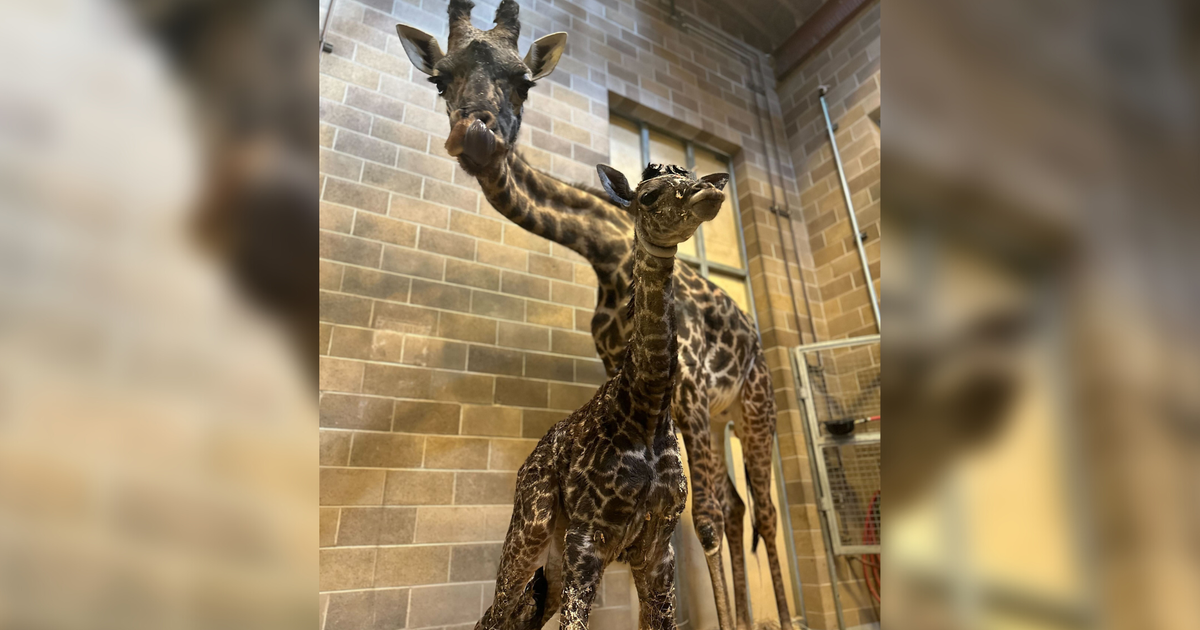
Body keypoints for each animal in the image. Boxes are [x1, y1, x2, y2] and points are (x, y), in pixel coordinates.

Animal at [476, 162, 721, 630]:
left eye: (692, 175)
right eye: (648, 195)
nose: (708, 191)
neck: (645, 407)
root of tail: (527, 462)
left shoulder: (657, 547)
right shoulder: (587, 538)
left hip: (552, 562)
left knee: (517, 613)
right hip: (531, 528)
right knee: (497, 613)